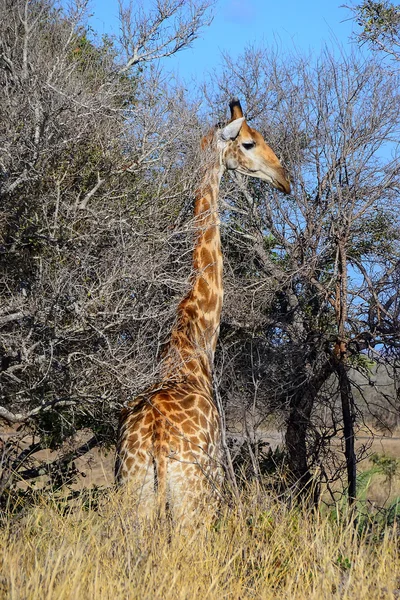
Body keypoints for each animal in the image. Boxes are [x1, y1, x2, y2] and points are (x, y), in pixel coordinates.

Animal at [115, 98, 290, 520]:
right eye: (248, 142)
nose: (285, 179)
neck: (194, 340)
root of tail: (157, 441)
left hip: (133, 497)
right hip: (195, 501)